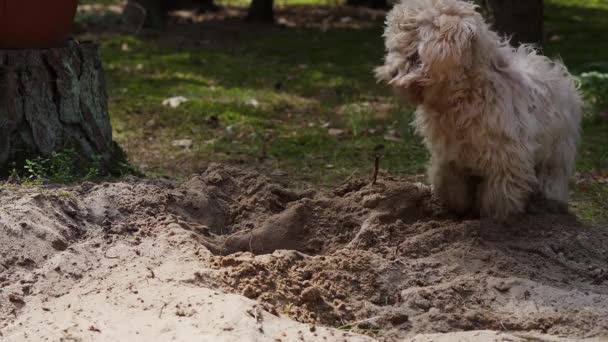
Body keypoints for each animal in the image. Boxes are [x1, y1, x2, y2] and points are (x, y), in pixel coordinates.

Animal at [376, 0, 584, 219]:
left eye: (414, 54)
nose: (391, 73)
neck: (466, 93)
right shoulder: (450, 156)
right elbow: (450, 184)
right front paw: (457, 208)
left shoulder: (506, 157)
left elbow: (500, 193)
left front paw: (496, 217)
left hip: (557, 150)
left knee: (553, 175)